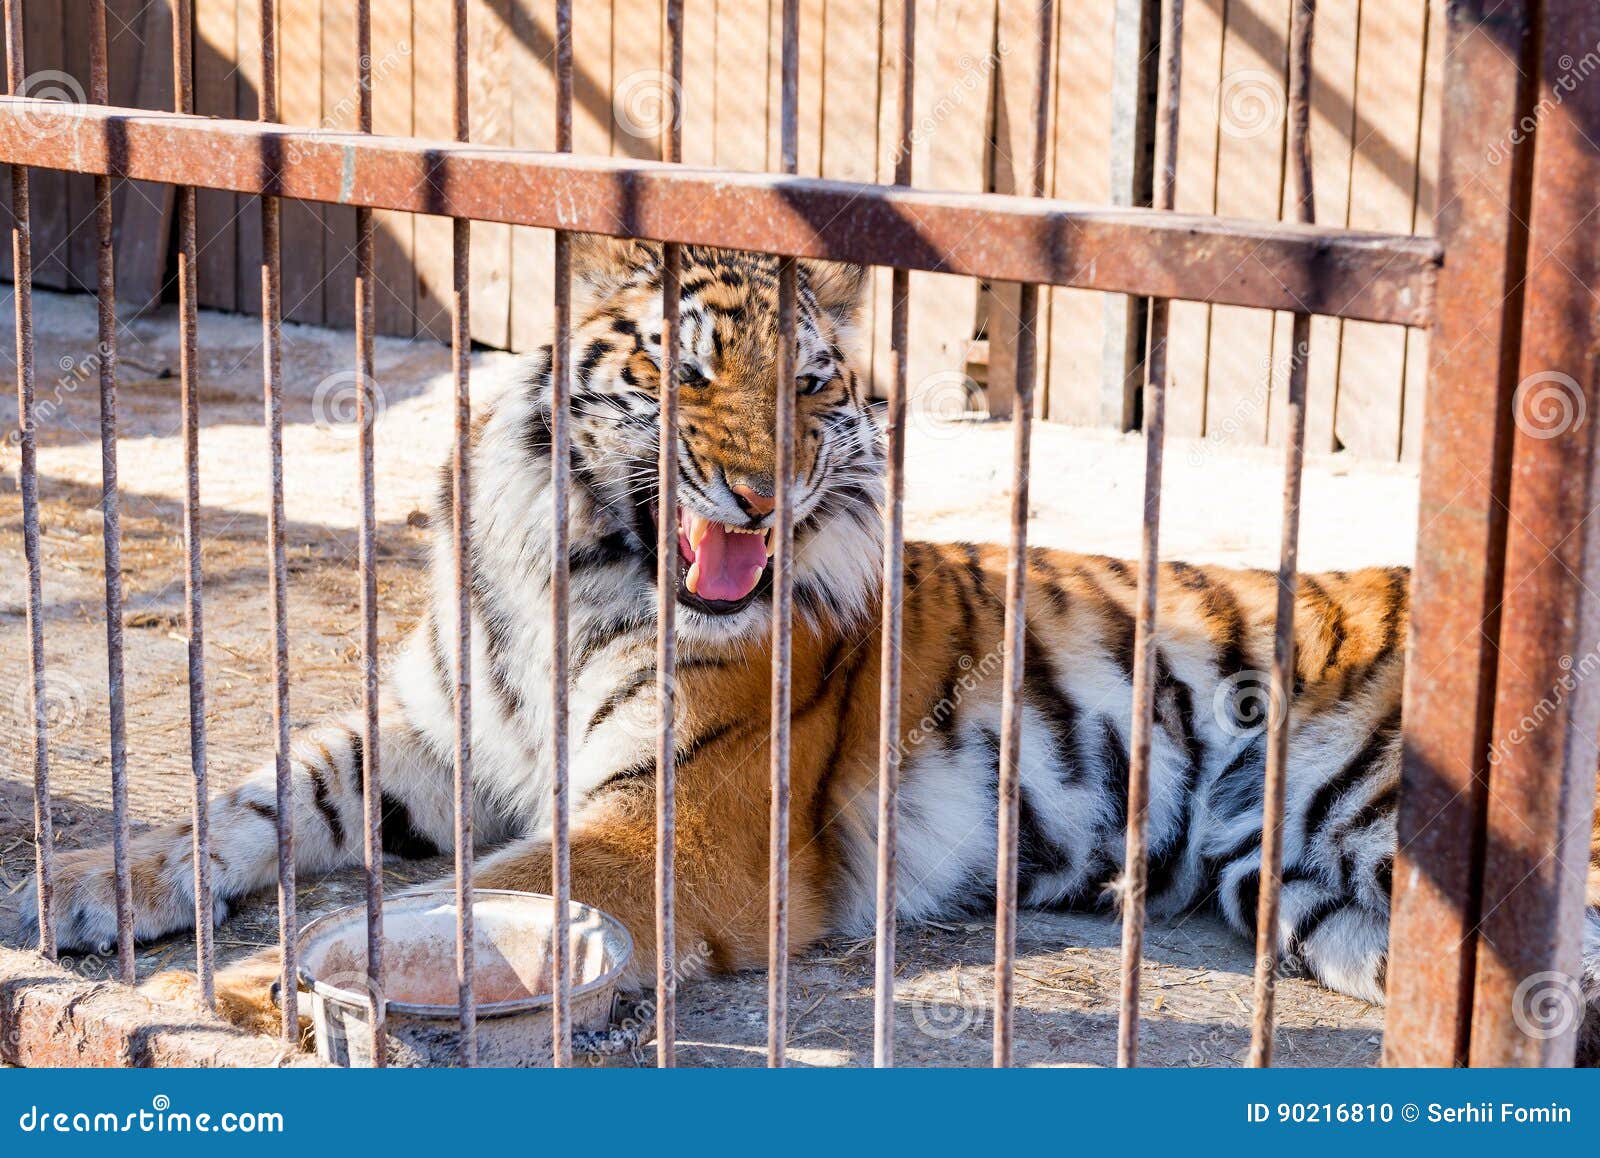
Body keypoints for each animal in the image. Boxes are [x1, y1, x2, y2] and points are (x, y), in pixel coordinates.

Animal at [18, 239, 1600, 1061]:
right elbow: (249, 799)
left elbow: (488, 890)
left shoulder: (674, 818)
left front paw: (278, 981)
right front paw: (88, 884)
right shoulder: (417, 748)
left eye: (815, 390)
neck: (571, 571)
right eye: (686, 374)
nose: (762, 495)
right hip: (1314, 893)